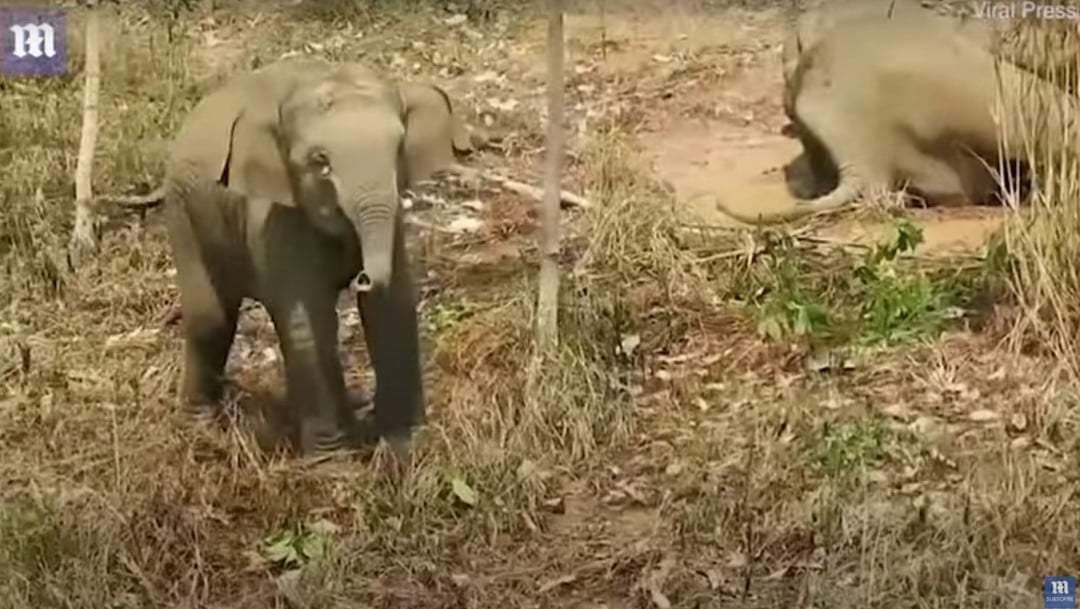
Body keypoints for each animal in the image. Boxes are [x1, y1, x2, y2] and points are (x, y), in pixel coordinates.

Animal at [161, 58, 468, 457]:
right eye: (320, 161)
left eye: (399, 147)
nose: (361, 276)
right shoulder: (276, 215)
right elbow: (307, 320)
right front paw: (334, 462)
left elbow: (392, 306)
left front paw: (405, 443)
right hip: (182, 213)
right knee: (210, 317)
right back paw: (200, 433)